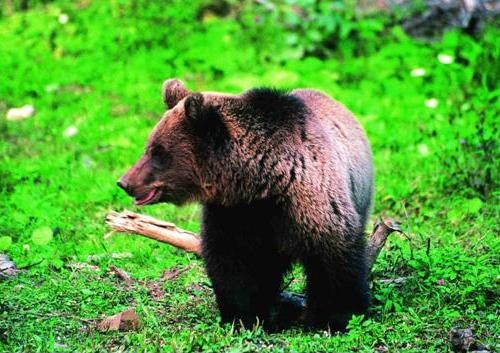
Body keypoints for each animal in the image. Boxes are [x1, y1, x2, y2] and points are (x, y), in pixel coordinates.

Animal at [119, 77, 374, 330]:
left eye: (158, 151)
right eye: (150, 147)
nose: (124, 182)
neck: (262, 183)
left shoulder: (307, 203)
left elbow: (332, 259)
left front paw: (333, 317)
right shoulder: (234, 213)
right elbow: (235, 265)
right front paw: (243, 316)